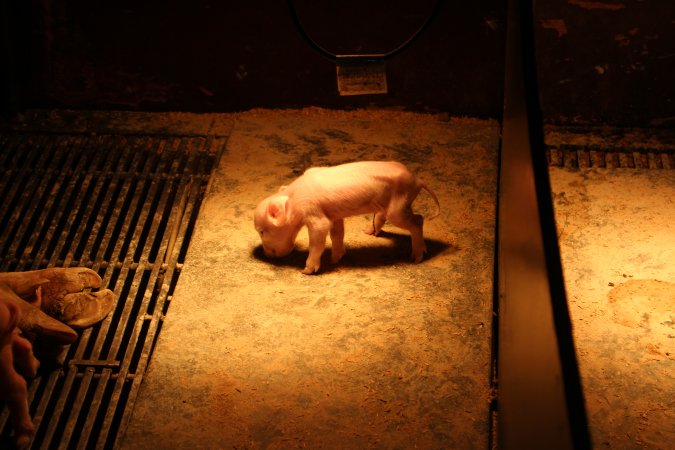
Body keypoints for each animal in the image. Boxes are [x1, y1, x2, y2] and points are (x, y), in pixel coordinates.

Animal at [254, 161, 440, 274]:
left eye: (262, 231)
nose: (266, 254)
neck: (296, 198)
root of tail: (417, 180)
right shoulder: (334, 215)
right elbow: (337, 234)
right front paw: (335, 259)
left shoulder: (316, 215)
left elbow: (317, 240)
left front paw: (306, 271)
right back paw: (368, 232)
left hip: (398, 209)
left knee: (418, 220)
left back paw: (416, 258)